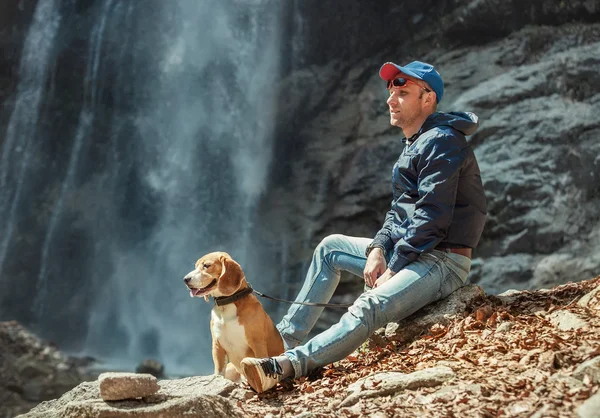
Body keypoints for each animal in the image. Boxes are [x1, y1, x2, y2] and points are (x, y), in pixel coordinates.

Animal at [183, 251, 284, 382]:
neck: (227, 304)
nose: (185, 279)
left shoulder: (257, 343)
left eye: (207, 265)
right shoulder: (217, 346)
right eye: (195, 266)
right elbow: (219, 373)